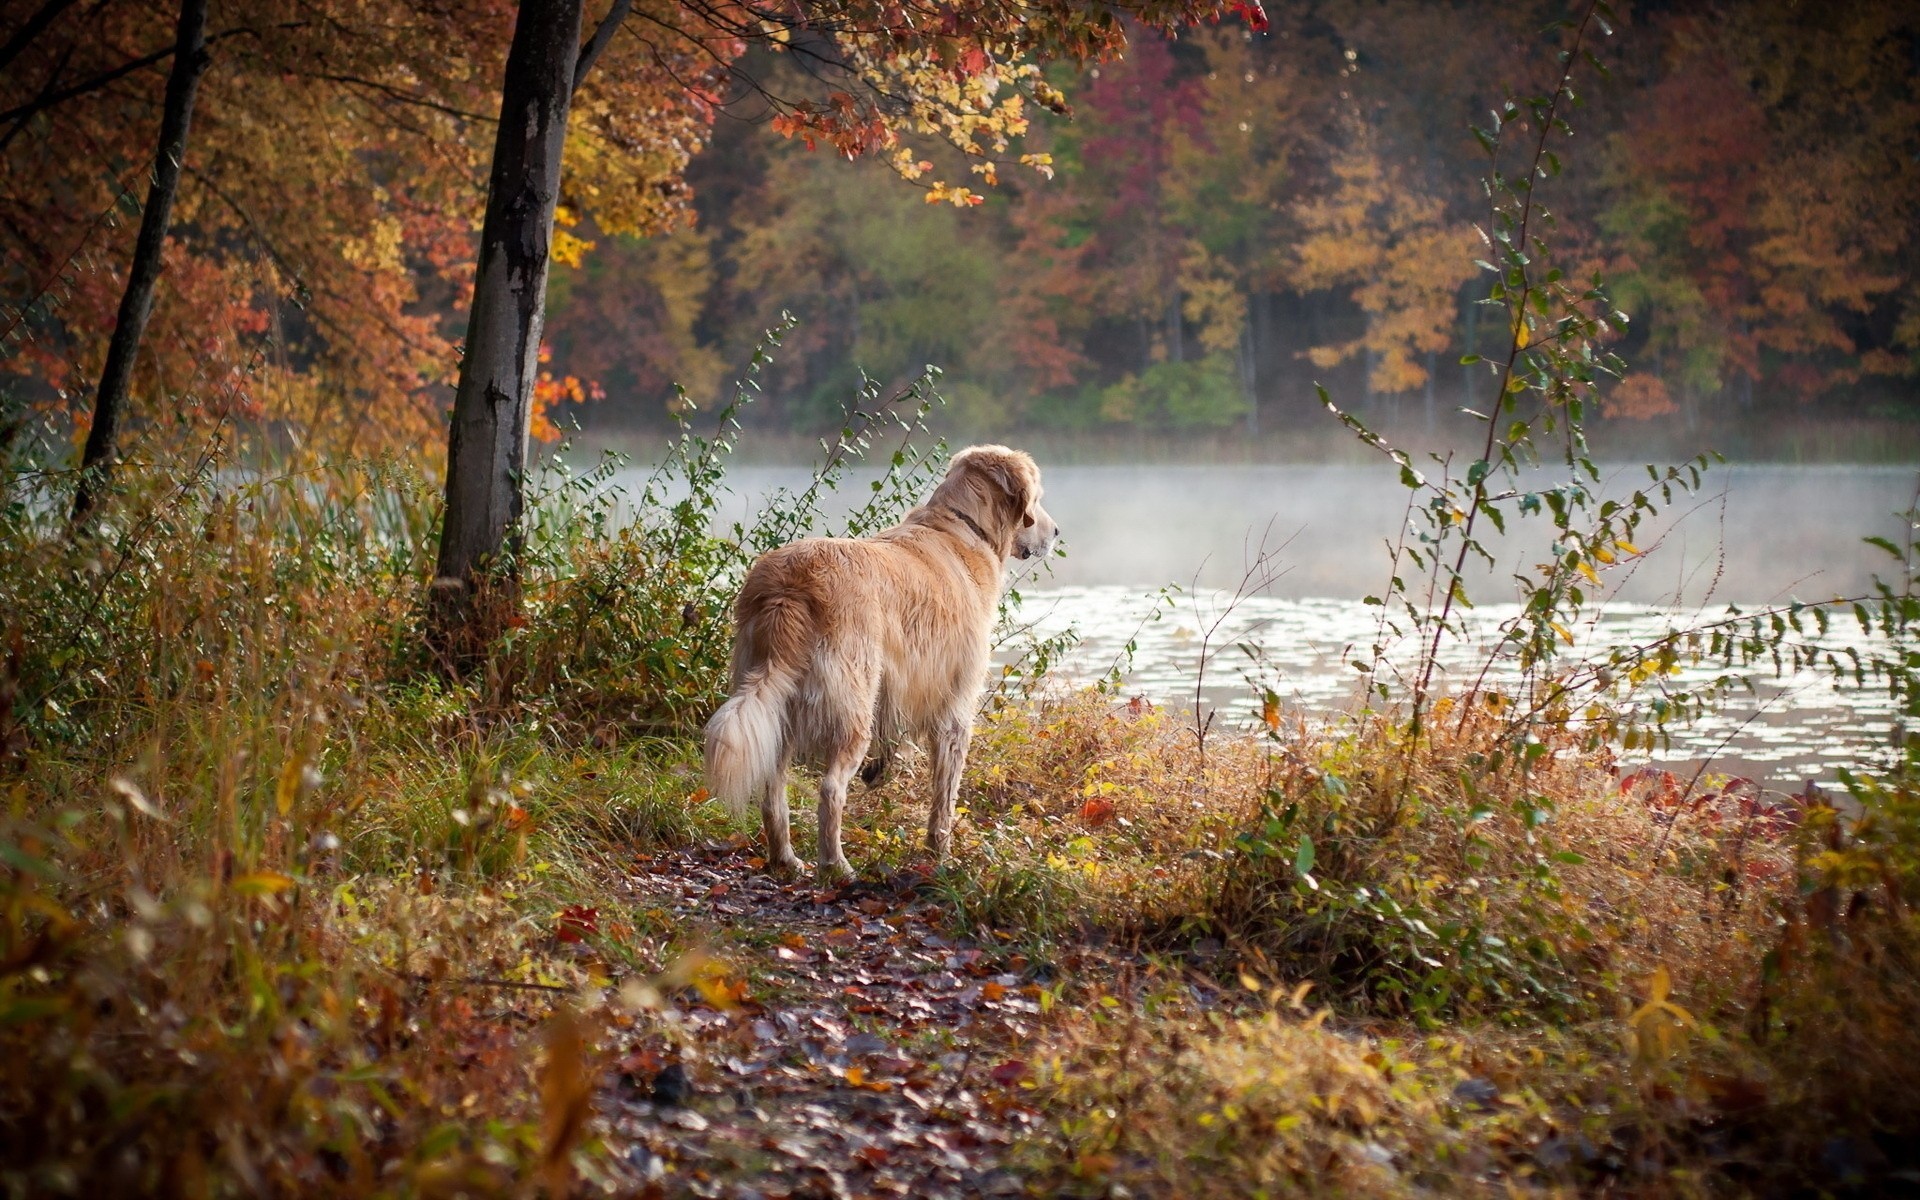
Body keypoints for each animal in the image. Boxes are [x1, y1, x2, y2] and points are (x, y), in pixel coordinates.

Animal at [706, 447, 1067, 879]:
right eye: (1039, 497)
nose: (1056, 531)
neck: (963, 528)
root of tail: (789, 587)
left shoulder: (901, 686)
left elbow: (895, 742)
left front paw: (880, 772)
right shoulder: (955, 705)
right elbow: (944, 797)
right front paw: (940, 854)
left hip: (778, 699)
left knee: (772, 788)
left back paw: (786, 859)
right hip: (851, 703)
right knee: (830, 790)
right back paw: (836, 865)